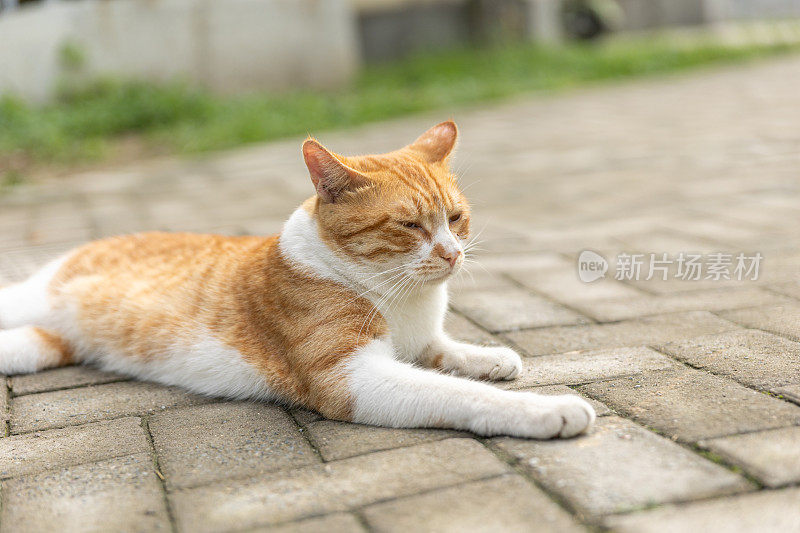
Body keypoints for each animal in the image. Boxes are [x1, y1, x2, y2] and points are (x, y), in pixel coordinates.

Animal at [0, 122, 592, 438]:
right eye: (409, 226)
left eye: (455, 218)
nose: (451, 254)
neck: (401, 296)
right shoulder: (351, 379)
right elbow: (455, 393)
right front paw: (547, 410)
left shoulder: (421, 342)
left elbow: (447, 351)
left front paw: (489, 357)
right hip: (28, 300)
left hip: (43, 345)